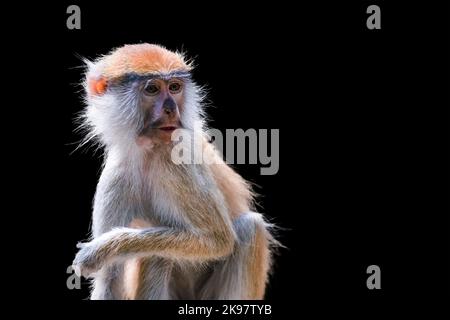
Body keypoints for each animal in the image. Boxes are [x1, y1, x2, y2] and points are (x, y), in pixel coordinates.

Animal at [71, 43, 278, 298]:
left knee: (249, 227)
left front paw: (104, 249)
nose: (171, 110)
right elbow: (110, 278)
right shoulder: (116, 173)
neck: (148, 153)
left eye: (175, 87)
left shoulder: (177, 159)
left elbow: (217, 241)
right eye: (152, 89)